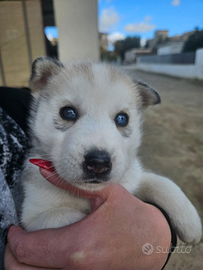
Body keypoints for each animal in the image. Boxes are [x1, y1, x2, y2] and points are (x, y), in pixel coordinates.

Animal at [21, 57, 201, 245]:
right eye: (68, 112)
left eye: (122, 119)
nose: (98, 163)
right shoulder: (32, 218)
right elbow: (62, 216)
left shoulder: (133, 178)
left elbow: (162, 183)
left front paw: (190, 222)